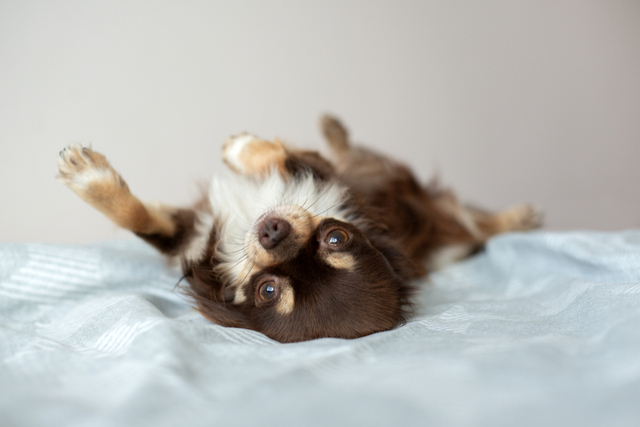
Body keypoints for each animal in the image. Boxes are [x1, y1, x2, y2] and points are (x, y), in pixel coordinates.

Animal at [58, 117, 540, 344]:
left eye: (269, 291)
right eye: (334, 238)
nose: (272, 231)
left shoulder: (317, 173)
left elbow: (283, 156)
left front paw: (238, 148)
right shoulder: (197, 232)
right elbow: (134, 215)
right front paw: (90, 179)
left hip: (451, 234)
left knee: (477, 224)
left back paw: (519, 218)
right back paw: (333, 126)